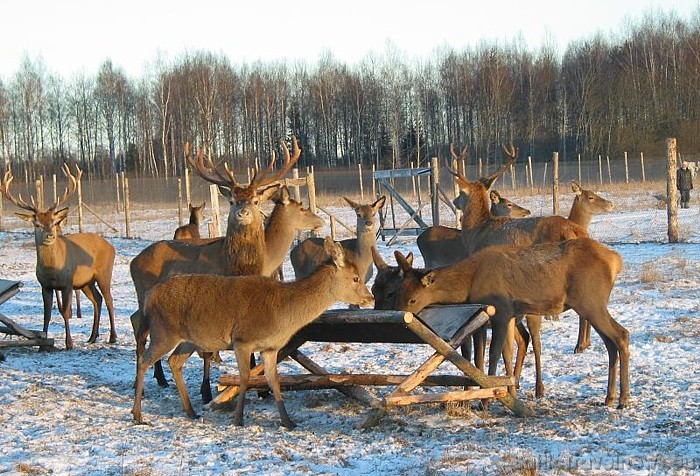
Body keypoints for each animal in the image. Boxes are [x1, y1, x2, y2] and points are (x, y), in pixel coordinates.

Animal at [0, 165, 116, 350]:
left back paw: (112, 337)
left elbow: (65, 311)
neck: (52, 270)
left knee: (109, 299)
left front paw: (69, 343)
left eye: (54, 222)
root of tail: (110, 246)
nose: (49, 236)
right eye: (37, 224)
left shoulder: (67, 283)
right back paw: (92, 337)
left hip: (104, 272)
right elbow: (47, 313)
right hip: (85, 282)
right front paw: (43, 343)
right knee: (97, 299)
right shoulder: (45, 285)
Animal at [130, 238, 372, 428]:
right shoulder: (242, 341)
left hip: (188, 340)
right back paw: (137, 414)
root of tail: (150, 297)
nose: (370, 298)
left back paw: (190, 411)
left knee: (174, 362)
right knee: (144, 360)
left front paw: (288, 422)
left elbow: (274, 380)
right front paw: (238, 419)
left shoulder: (271, 347)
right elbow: (244, 378)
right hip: (164, 332)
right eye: (355, 278)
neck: (283, 316)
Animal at [394, 238, 628, 410]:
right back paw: (609, 397)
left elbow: (494, 354)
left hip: (590, 300)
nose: (398, 316)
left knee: (621, 335)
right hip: (591, 304)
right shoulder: (488, 316)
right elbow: (481, 356)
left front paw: (487, 399)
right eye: (399, 292)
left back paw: (623, 399)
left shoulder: (502, 311)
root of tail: (616, 260)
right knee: (610, 343)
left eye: (412, 300)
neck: (468, 284)